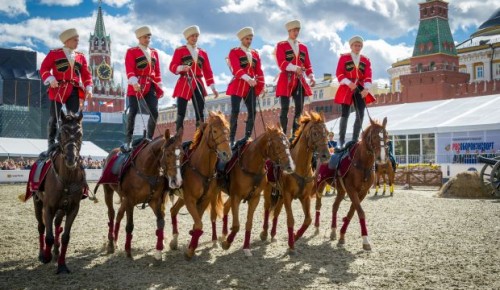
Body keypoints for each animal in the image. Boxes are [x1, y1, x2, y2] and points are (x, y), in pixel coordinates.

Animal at [32, 110, 85, 274]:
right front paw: (46, 256)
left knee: (57, 225)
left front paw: (62, 265)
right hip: (37, 203)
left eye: (80, 133)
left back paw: (55, 252)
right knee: (41, 227)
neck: (67, 179)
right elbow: (48, 235)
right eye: (62, 132)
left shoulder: (73, 208)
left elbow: (65, 236)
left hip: (61, 208)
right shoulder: (48, 207)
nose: (71, 158)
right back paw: (43, 253)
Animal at [97, 127, 184, 260]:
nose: (177, 181)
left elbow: (160, 222)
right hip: (108, 190)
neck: (146, 170)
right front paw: (128, 251)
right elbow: (130, 225)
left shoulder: (155, 201)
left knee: (119, 215)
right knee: (111, 214)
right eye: (168, 154)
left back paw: (115, 241)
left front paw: (159, 251)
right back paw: (111, 243)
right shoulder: (130, 200)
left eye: (183, 154)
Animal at [168, 111, 230, 260]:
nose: (227, 154)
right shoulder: (190, 200)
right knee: (173, 211)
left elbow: (198, 224)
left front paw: (192, 246)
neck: (201, 168)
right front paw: (190, 249)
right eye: (215, 131)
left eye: (228, 130)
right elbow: (198, 224)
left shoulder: (204, 200)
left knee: (175, 211)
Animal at [220, 124, 296, 256]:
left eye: (288, 143)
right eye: (277, 146)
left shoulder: (254, 198)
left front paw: (246, 247)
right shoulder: (236, 197)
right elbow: (236, 225)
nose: (290, 166)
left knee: (226, 206)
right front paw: (226, 244)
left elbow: (249, 223)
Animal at [260, 111, 330, 254]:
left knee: (276, 212)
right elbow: (290, 220)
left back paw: (273, 234)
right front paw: (291, 245)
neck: (300, 167)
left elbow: (308, 219)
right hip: (269, 192)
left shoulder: (304, 197)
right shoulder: (288, 195)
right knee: (267, 209)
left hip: (280, 196)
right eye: (315, 133)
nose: (326, 155)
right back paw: (264, 233)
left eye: (326, 132)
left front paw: (295, 236)